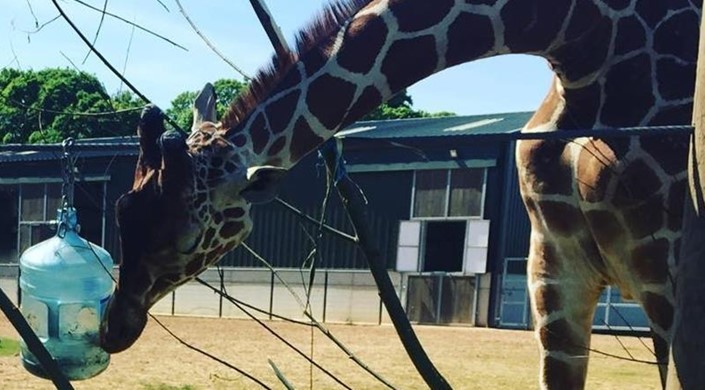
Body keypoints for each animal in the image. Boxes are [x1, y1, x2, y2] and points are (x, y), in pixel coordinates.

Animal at [99, 0, 700, 386]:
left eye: (187, 237)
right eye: (122, 209)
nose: (112, 328)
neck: (584, 45)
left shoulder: (666, 270)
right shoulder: (553, 267)